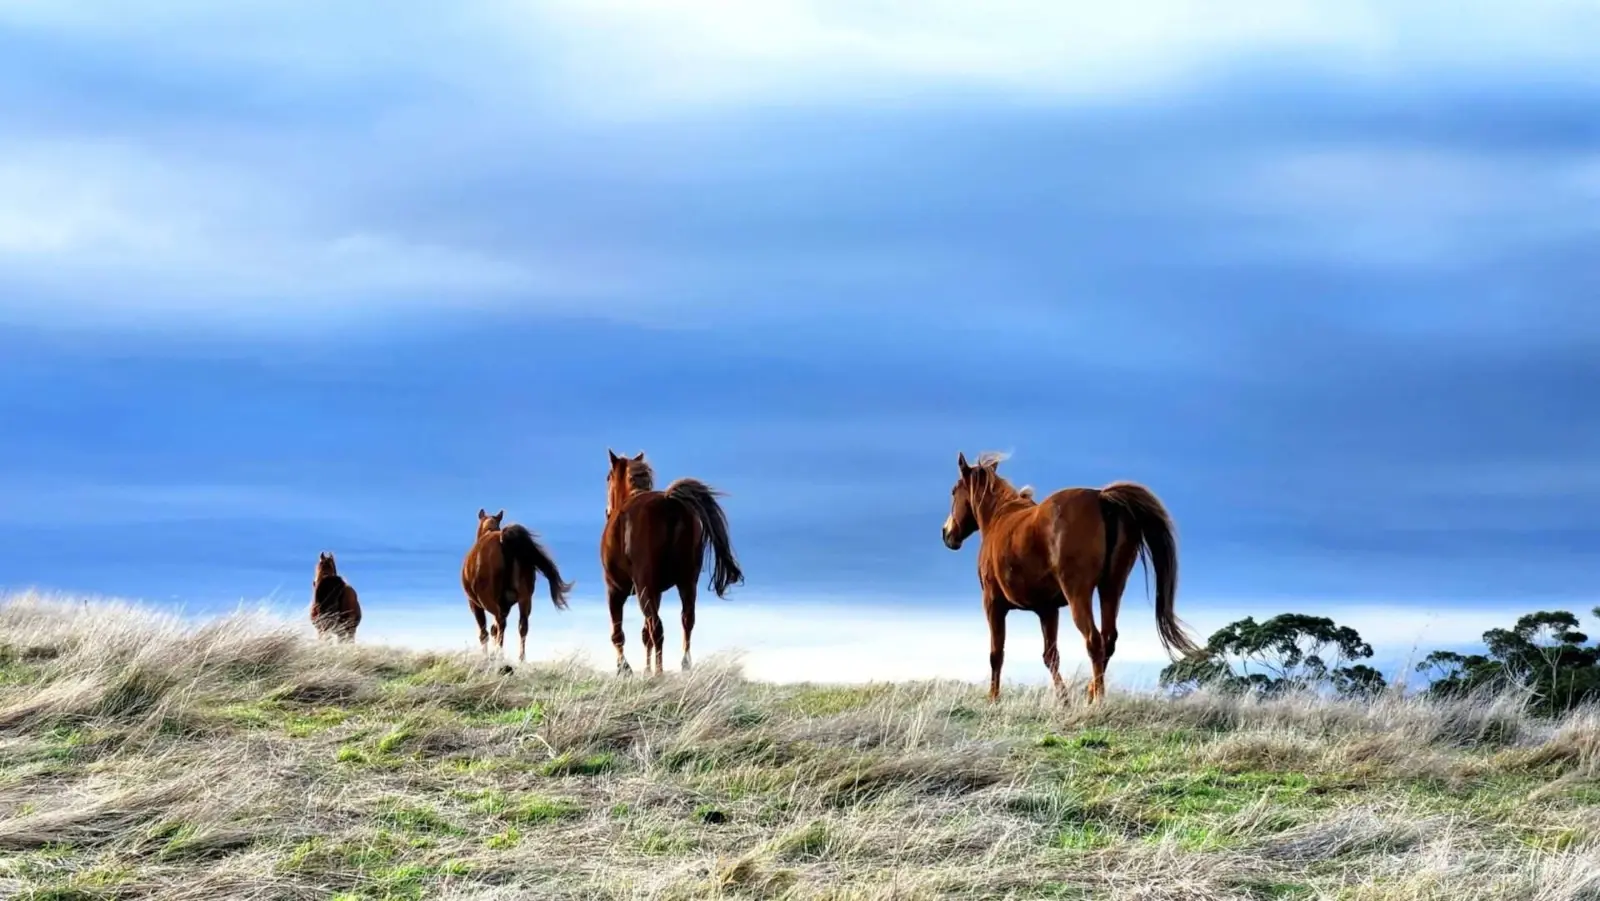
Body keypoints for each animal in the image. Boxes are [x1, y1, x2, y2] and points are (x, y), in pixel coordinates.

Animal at [460, 508, 574, 664]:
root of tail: (504, 541)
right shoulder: (506, 605)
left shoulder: (475, 604)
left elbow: (484, 631)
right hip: (525, 599)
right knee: (522, 626)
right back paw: (521, 659)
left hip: (489, 600)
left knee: (499, 624)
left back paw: (500, 655)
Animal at [602, 449, 744, 676]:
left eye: (608, 477)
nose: (607, 511)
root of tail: (670, 502)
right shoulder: (657, 592)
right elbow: (645, 635)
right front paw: (646, 670)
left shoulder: (615, 589)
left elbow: (618, 633)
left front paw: (625, 668)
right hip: (687, 582)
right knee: (686, 620)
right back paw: (683, 666)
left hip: (644, 587)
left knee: (657, 627)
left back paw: (660, 672)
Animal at [940, 451, 1201, 703]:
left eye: (954, 490)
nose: (947, 532)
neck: (999, 517)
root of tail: (1101, 498)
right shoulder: (1047, 609)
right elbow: (1050, 656)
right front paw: (1064, 700)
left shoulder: (993, 604)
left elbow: (997, 654)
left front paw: (993, 700)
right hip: (1111, 588)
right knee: (1108, 639)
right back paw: (1091, 692)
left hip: (1079, 594)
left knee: (1094, 641)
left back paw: (1098, 699)